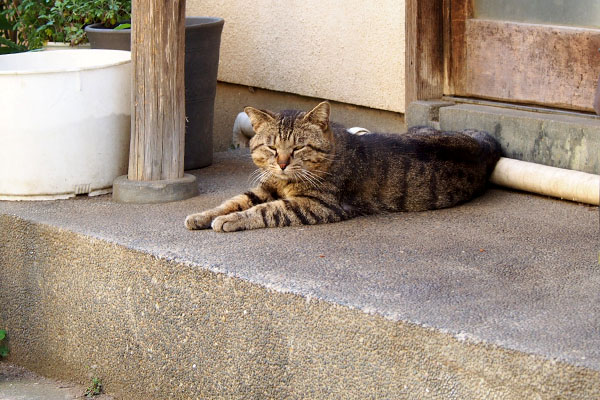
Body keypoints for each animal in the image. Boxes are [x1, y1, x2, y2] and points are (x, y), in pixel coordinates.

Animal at [186, 101, 502, 233]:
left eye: (298, 148)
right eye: (272, 148)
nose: (283, 163)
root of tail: (486, 146)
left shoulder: (317, 204)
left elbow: (265, 211)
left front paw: (230, 221)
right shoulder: (266, 187)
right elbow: (233, 201)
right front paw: (203, 215)